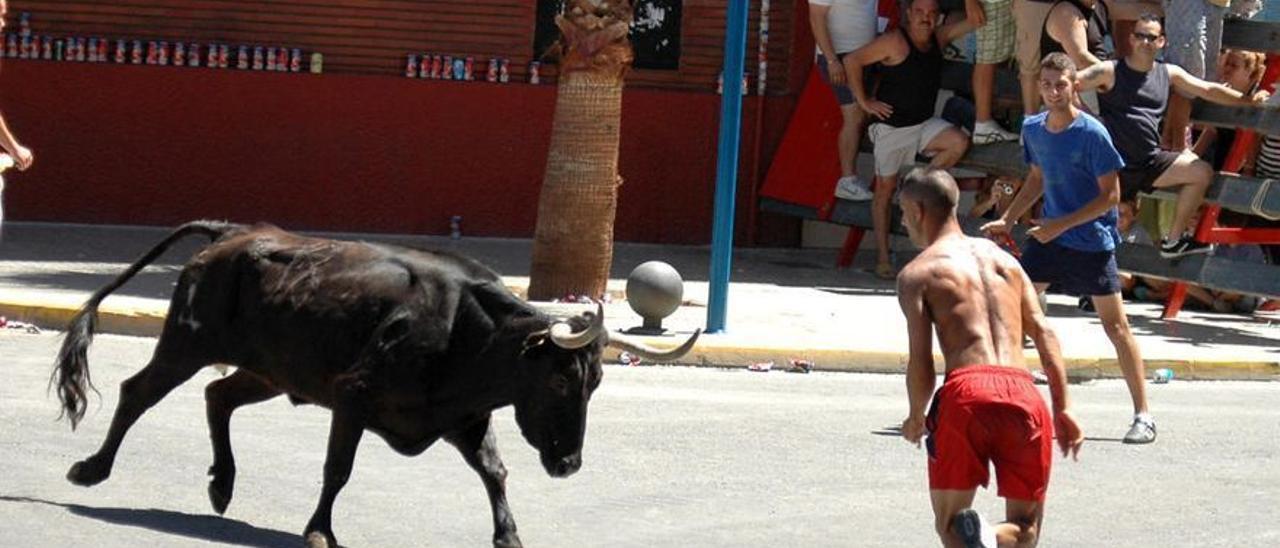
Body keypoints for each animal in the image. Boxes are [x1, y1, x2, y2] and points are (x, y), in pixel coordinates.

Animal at [52, 221, 701, 548]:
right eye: (562, 381)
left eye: (596, 383)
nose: (568, 465)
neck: (467, 332)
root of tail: (233, 232)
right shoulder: (352, 397)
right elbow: (337, 469)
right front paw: (319, 532)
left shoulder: (465, 418)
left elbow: (494, 472)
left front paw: (510, 536)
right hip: (186, 344)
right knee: (139, 393)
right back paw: (91, 469)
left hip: (270, 370)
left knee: (219, 397)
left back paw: (221, 485)